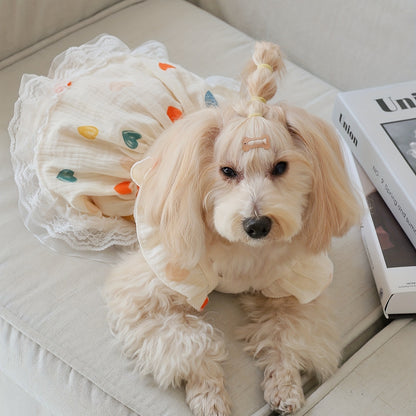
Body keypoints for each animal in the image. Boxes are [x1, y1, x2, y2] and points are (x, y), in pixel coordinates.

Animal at [104, 42, 360, 416]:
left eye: (280, 167)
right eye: (226, 171)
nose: (258, 224)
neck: (243, 251)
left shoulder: (294, 287)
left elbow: (288, 336)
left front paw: (286, 387)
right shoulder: (152, 292)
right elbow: (187, 342)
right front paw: (209, 396)